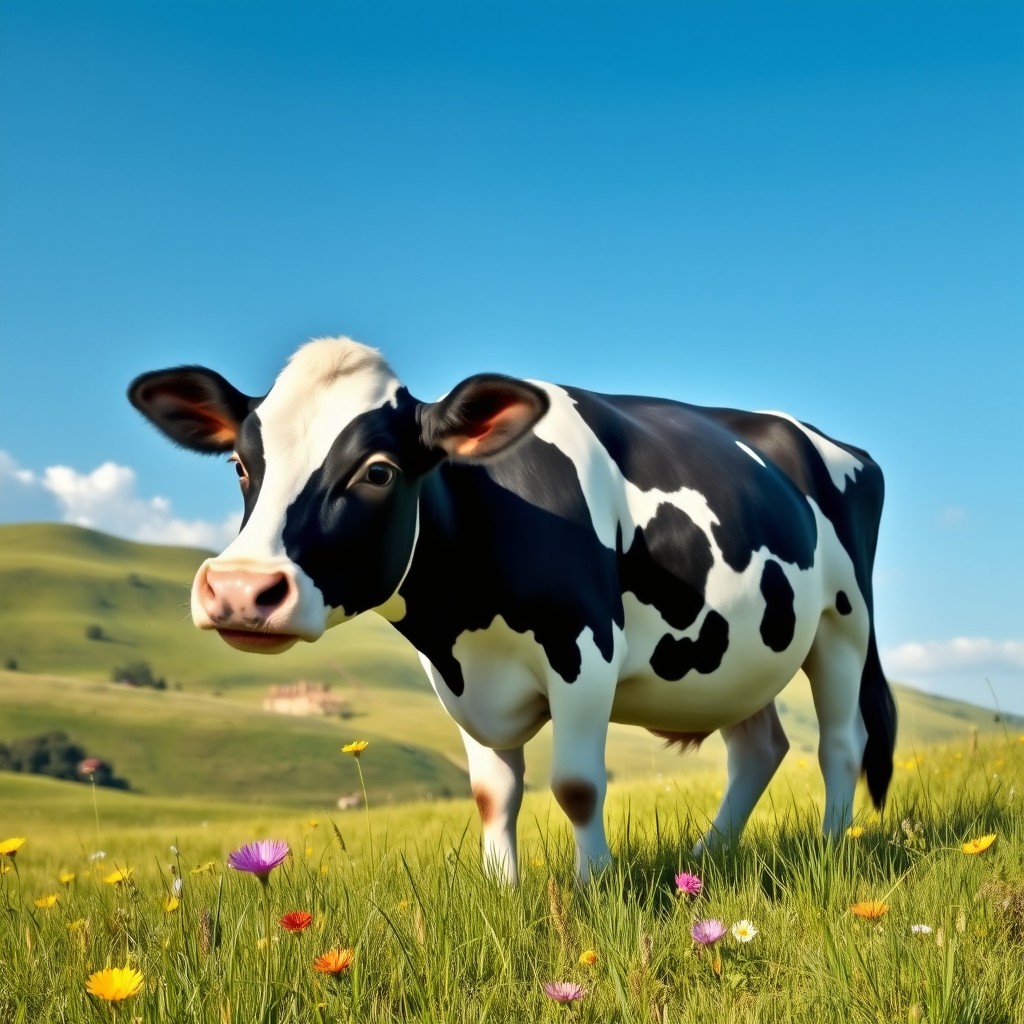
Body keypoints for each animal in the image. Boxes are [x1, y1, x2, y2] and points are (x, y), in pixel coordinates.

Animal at [129, 336, 897, 883]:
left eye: (377, 471)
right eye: (241, 465)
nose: (239, 589)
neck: (463, 618)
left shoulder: (584, 648)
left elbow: (578, 786)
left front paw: (595, 889)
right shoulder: (459, 675)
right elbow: (494, 793)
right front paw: (504, 889)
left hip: (843, 624)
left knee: (841, 741)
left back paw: (834, 847)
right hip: (739, 654)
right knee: (759, 748)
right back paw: (706, 859)